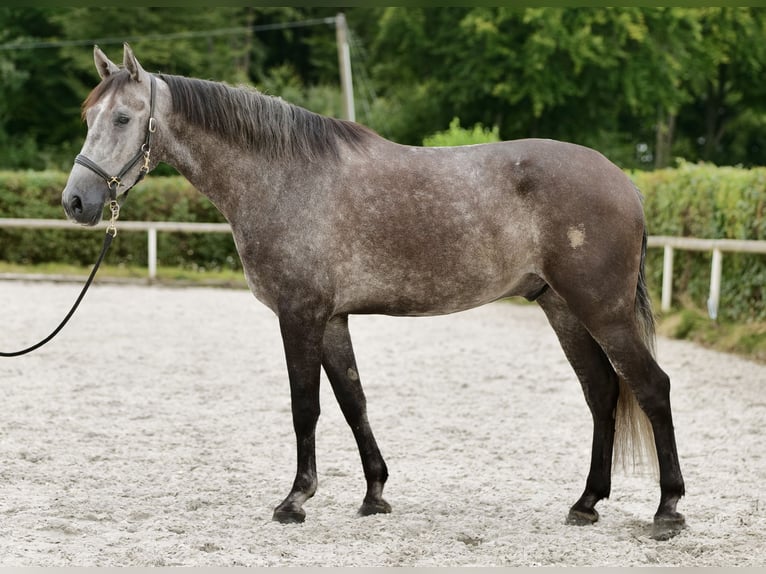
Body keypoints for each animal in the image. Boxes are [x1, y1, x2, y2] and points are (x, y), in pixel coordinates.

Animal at [58, 44, 684, 540]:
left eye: (122, 118)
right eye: (88, 115)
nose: (76, 202)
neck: (284, 178)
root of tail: (625, 181)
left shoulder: (300, 314)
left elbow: (305, 405)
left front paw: (296, 500)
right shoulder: (333, 319)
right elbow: (353, 400)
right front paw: (374, 495)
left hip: (602, 311)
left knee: (651, 387)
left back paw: (668, 509)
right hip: (564, 310)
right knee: (601, 392)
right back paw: (586, 504)